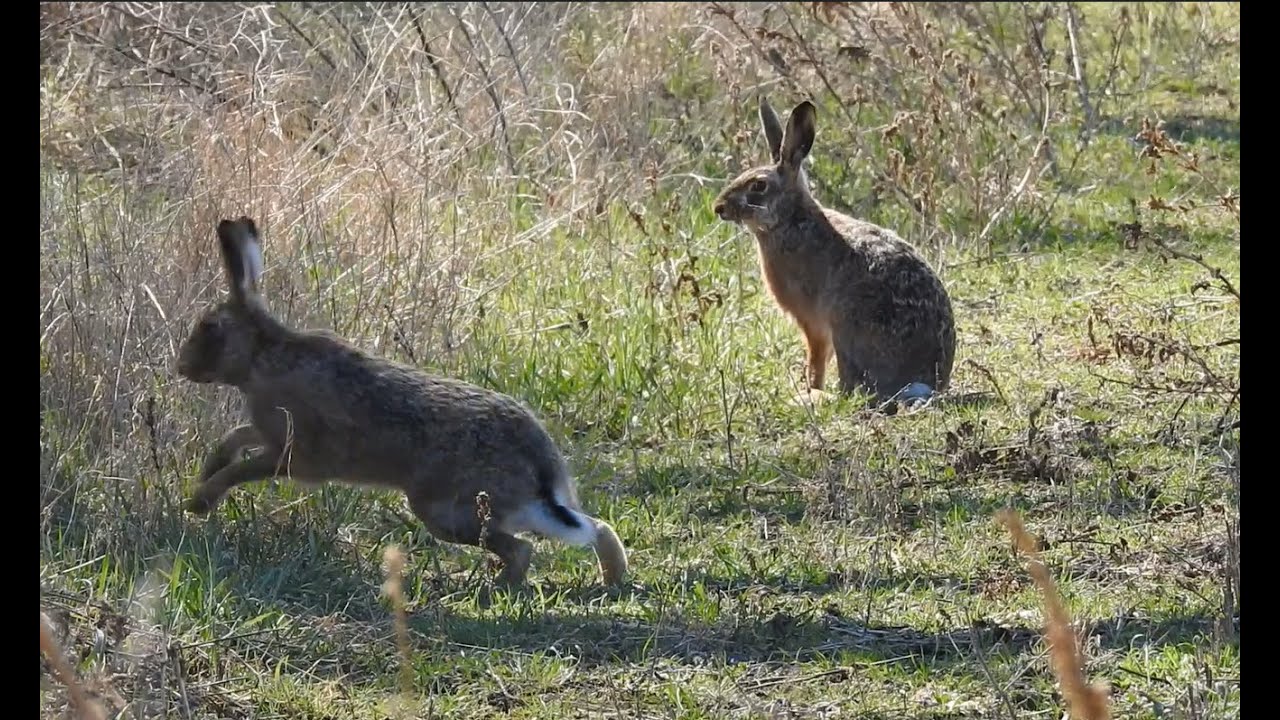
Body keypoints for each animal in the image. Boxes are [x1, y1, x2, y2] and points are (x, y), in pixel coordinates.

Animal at [175, 216, 628, 586]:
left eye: (210, 328)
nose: (182, 366)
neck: (262, 356)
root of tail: (541, 469)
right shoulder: (267, 431)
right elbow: (237, 437)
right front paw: (208, 470)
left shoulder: (296, 454)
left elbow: (244, 469)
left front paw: (200, 502)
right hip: (512, 510)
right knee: (593, 528)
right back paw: (612, 579)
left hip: (445, 511)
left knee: (522, 548)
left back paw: (498, 589)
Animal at [712, 97, 956, 409]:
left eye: (758, 185)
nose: (719, 208)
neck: (790, 219)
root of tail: (923, 383)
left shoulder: (812, 322)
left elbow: (815, 358)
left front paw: (810, 386)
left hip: (847, 327)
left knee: (852, 391)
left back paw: (813, 397)